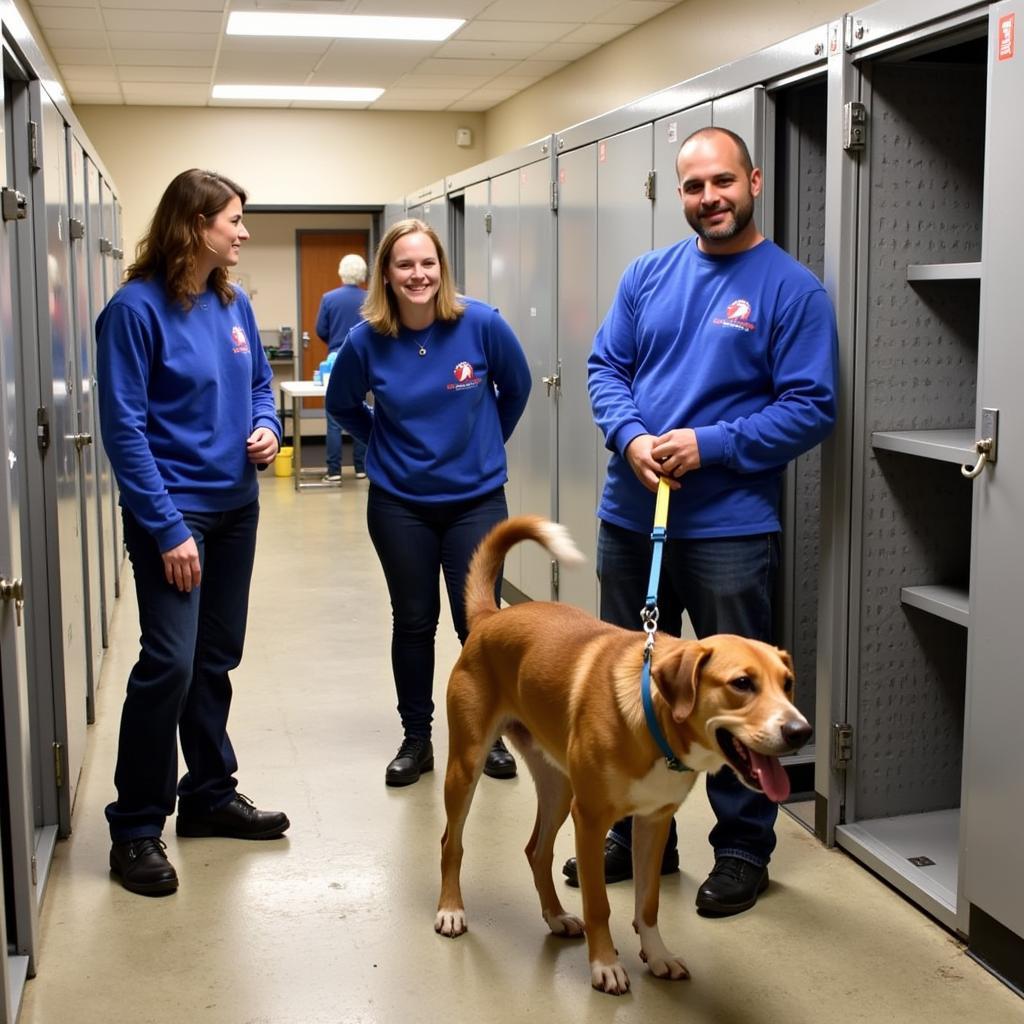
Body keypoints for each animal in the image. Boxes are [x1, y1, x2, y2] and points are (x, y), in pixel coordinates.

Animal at [436, 516, 811, 995]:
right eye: (742, 684)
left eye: (788, 684)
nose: (802, 731)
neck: (654, 721)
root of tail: (492, 616)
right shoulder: (591, 820)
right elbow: (599, 903)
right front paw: (605, 964)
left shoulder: (654, 821)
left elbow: (648, 903)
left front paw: (658, 955)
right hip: (467, 767)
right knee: (451, 842)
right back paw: (451, 909)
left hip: (559, 788)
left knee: (536, 851)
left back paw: (555, 916)